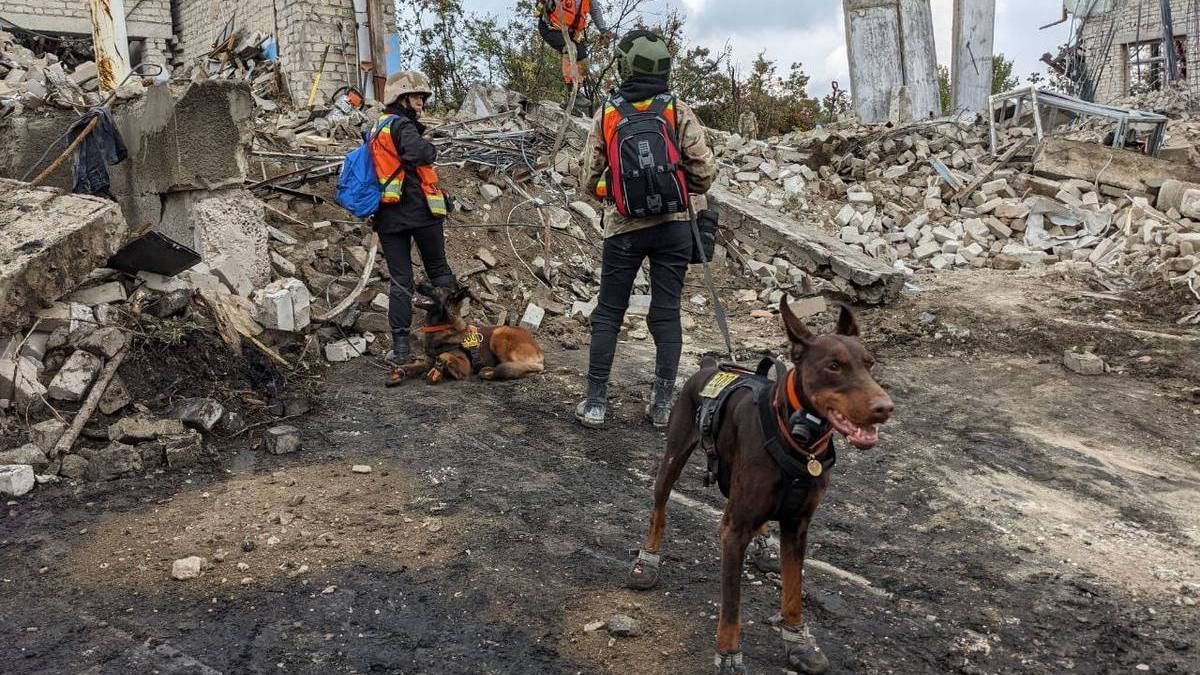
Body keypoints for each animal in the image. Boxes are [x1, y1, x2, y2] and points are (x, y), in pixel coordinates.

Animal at [386, 281, 547, 384]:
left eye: (435, 289)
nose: (416, 284)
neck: (442, 327)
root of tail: (539, 351)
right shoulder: (427, 361)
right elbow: (413, 366)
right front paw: (400, 370)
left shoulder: (464, 364)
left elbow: (445, 355)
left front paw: (441, 365)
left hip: (499, 334)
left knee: (522, 368)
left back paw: (490, 372)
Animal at [628, 296, 892, 667]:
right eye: (834, 366)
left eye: (870, 363)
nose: (886, 407)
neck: (799, 441)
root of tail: (709, 367)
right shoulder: (734, 530)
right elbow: (731, 606)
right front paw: (728, 655)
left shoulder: (798, 525)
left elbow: (794, 590)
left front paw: (797, 641)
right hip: (675, 455)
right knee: (660, 507)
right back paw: (648, 558)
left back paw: (764, 541)